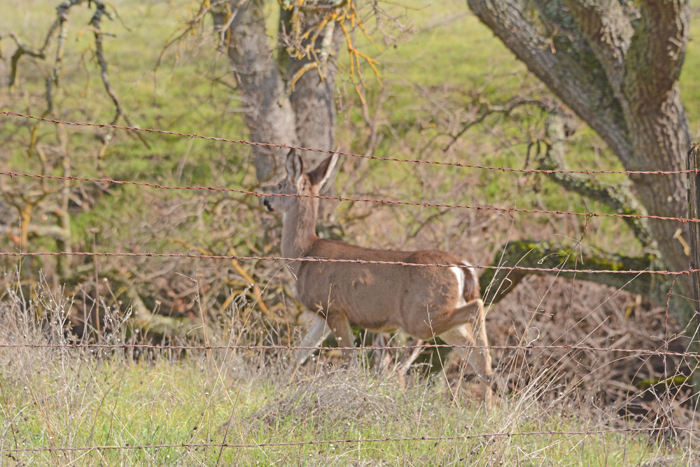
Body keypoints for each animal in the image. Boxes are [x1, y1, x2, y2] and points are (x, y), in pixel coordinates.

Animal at [266, 151, 494, 406]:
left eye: (279, 185)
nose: (266, 201)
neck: (303, 255)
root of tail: (462, 267)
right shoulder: (323, 314)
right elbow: (301, 351)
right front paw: (280, 387)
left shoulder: (334, 308)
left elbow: (351, 360)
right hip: (439, 315)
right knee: (470, 346)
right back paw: (488, 403)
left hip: (420, 315)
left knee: (477, 310)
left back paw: (488, 393)